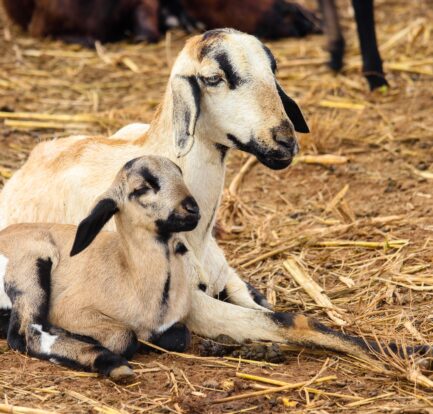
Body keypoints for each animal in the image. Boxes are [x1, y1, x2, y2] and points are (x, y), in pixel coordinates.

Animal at [0, 157, 199, 380]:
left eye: (180, 174)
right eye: (141, 188)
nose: (193, 209)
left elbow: (181, 336)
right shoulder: (70, 308)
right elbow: (125, 337)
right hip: (29, 267)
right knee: (27, 333)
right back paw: (111, 363)